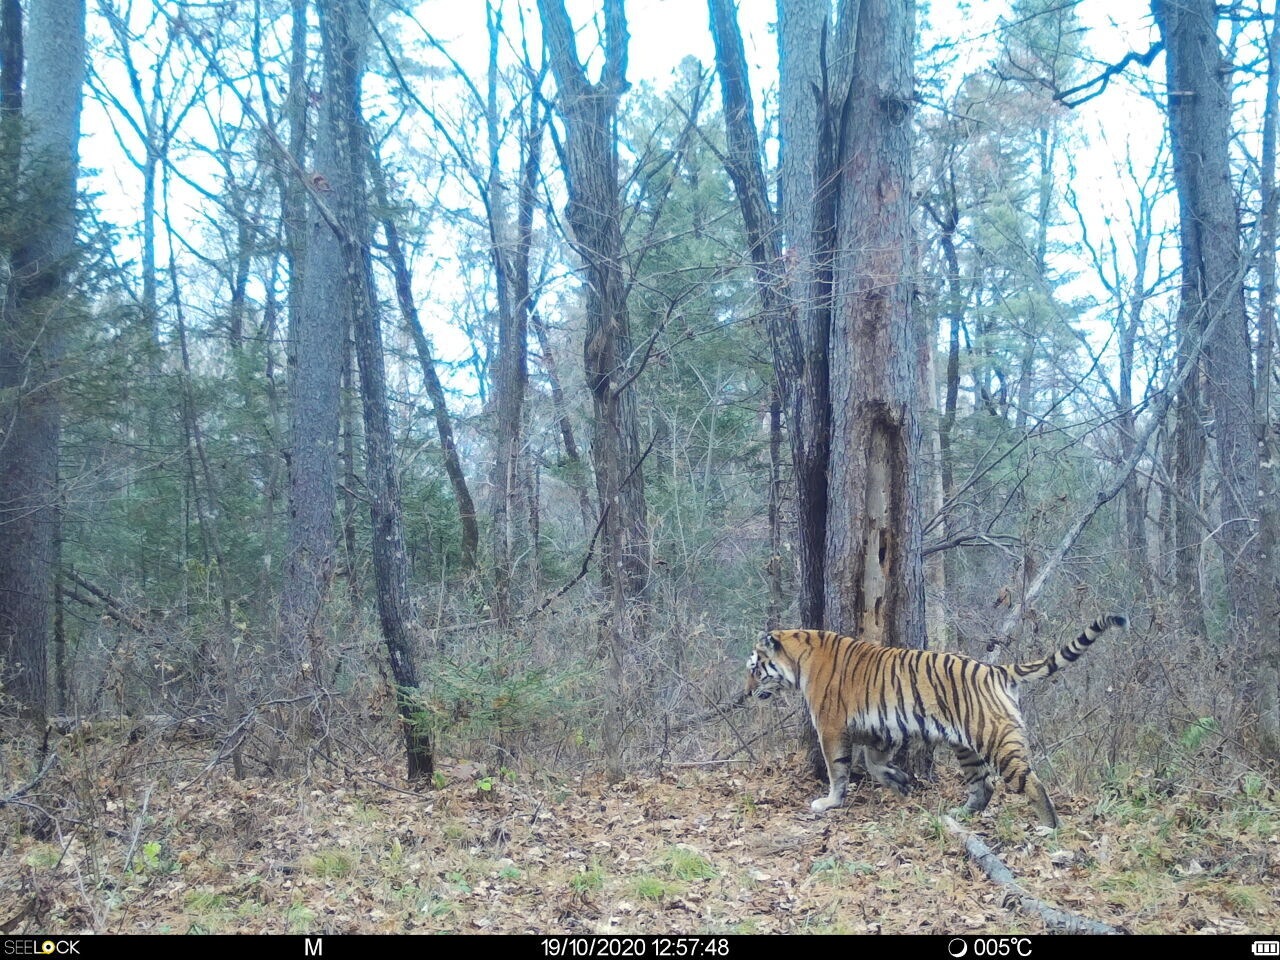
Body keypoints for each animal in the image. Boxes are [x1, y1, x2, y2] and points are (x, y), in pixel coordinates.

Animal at [747, 619, 1126, 829]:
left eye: (754, 667)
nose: (747, 692)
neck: (799, 658)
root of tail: (997, 670)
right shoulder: (878, 729)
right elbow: (873, 762)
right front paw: (900, 782)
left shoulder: (831, 727)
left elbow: (838, 769)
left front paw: (829, 803)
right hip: (966, 746)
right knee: (984, 785)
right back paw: (960, 814)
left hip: (997, 739)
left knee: (1031, 783)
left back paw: (1050, 828)